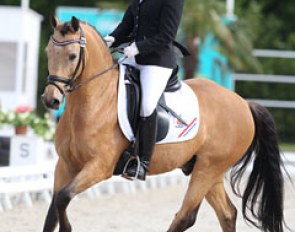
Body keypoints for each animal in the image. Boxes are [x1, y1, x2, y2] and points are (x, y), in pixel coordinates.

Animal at [41, 16, 286, 232]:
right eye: (47, 52)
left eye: (72, 56)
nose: (51, 99)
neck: (95, 101)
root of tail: (244, 103)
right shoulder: (65, 164)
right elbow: (53, 210)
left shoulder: (99, 167)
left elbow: (63, 197)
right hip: (209, 171)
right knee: (227, 213)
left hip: (208, 169)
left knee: (186, 216)